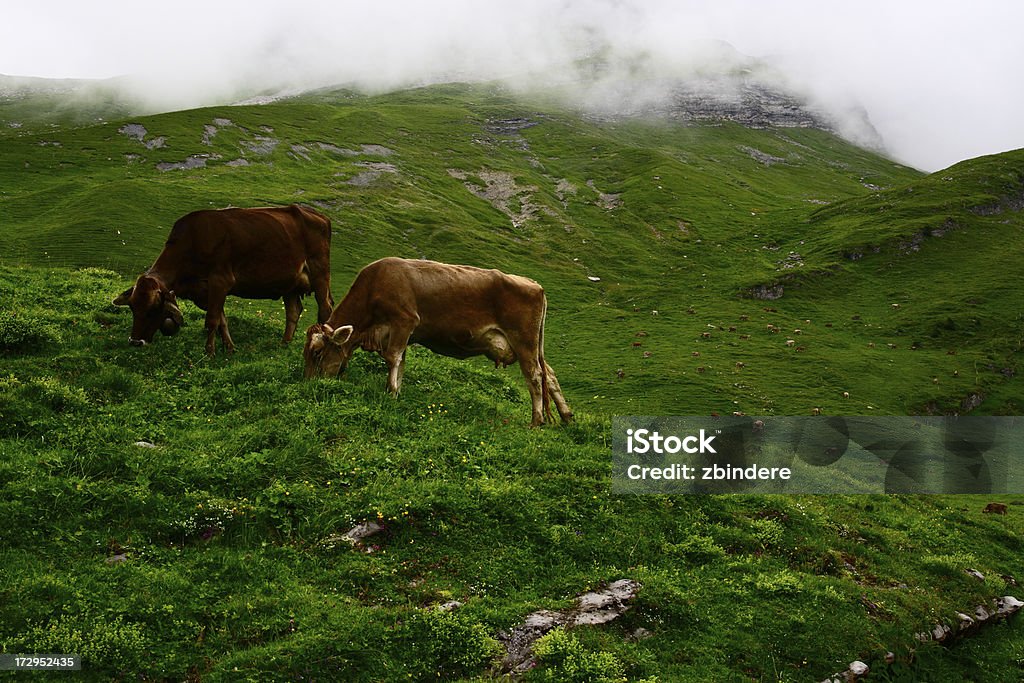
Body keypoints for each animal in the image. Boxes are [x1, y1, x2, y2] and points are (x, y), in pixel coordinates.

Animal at [113, 204, 333, 356]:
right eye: (132, 307)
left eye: (153, 309)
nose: (135, 342)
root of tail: (318, 215)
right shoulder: (206, 291)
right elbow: (222, 320)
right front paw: (229, 348)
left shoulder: (220, 281)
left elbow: (211, 320)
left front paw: (209, 352)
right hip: (290, 283)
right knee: (293, 311)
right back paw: (284, 344)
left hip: (320, 272)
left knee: (325, 309)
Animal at [303, 258, 577, 428]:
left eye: (317, 352)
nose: (309, 384)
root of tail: (535, 284)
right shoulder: (404, 332)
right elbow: (401, 362)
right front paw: (397, 390)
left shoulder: (404, 321)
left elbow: (392, 358)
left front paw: (391, 393)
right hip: (533, 344)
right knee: (550, 375)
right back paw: (566, 416)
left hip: (524, 340)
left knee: (534, 375)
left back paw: (536, 420)